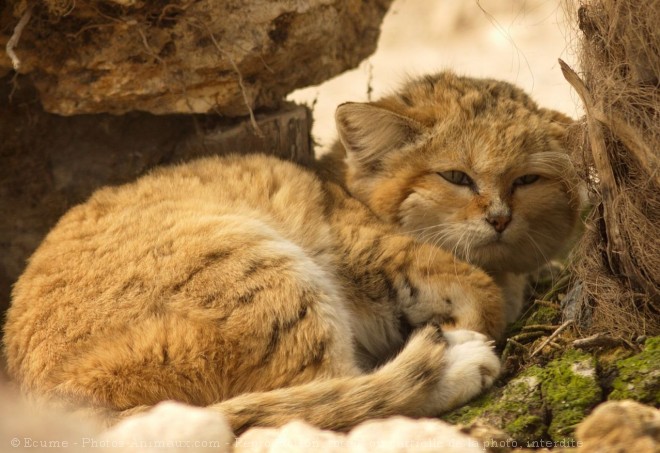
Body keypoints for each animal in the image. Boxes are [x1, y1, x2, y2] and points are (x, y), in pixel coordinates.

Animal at [0, 71, 580, 434]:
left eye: (526, 180)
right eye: (456, 177)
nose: (500, 218)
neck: (343, 189)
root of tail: (53, 401)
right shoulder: (370, 251)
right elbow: (480, 296)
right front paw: (469, 323)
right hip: (266, 274)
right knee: (325, 401)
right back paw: (455, 365)